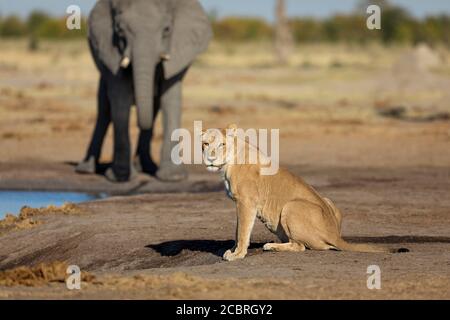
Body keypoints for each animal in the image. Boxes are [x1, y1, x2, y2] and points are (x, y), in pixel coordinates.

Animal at [75, 0, 213, 181]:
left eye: (167, 29)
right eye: (120, 31)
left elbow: (170, 99)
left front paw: (173, 178)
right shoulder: (111, 55)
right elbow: (120, 99)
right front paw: (120, 178)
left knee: (153, 110)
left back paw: (145, 166)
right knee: (104, 111)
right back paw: (86, 169)